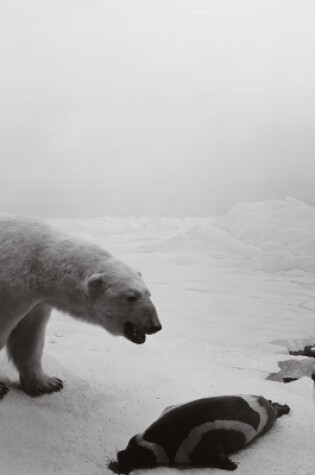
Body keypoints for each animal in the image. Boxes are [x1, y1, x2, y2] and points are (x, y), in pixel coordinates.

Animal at [0, 218, 162, 400]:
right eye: (131, 297)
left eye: (149, 293)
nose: (155, 325)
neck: (38, 263)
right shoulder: (11, 285)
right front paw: (1, 388)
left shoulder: (35, 301)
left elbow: (28, 337)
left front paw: (48, 383)